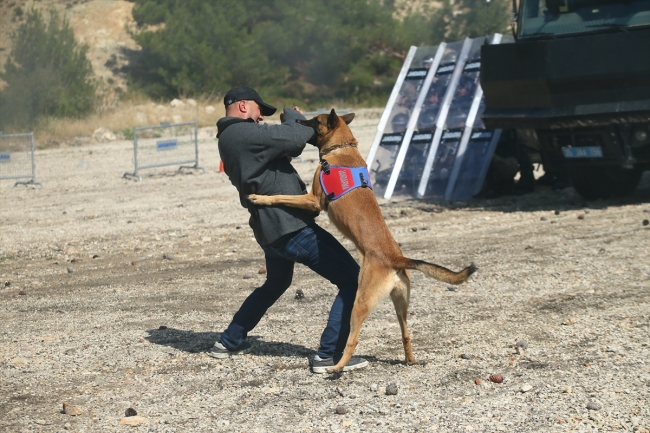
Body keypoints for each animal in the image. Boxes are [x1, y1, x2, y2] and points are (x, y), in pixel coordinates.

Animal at [246, 108, 474, 372]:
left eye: (314, 121)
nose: (295, 118)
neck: (341, 148)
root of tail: (396, 258)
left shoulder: (313, 201)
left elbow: (281, 197)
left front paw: (259, 198)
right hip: (401, 305)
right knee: (406, 334)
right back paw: (409, 359)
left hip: (360, 301)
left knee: (353, 340)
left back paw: (336, 368)